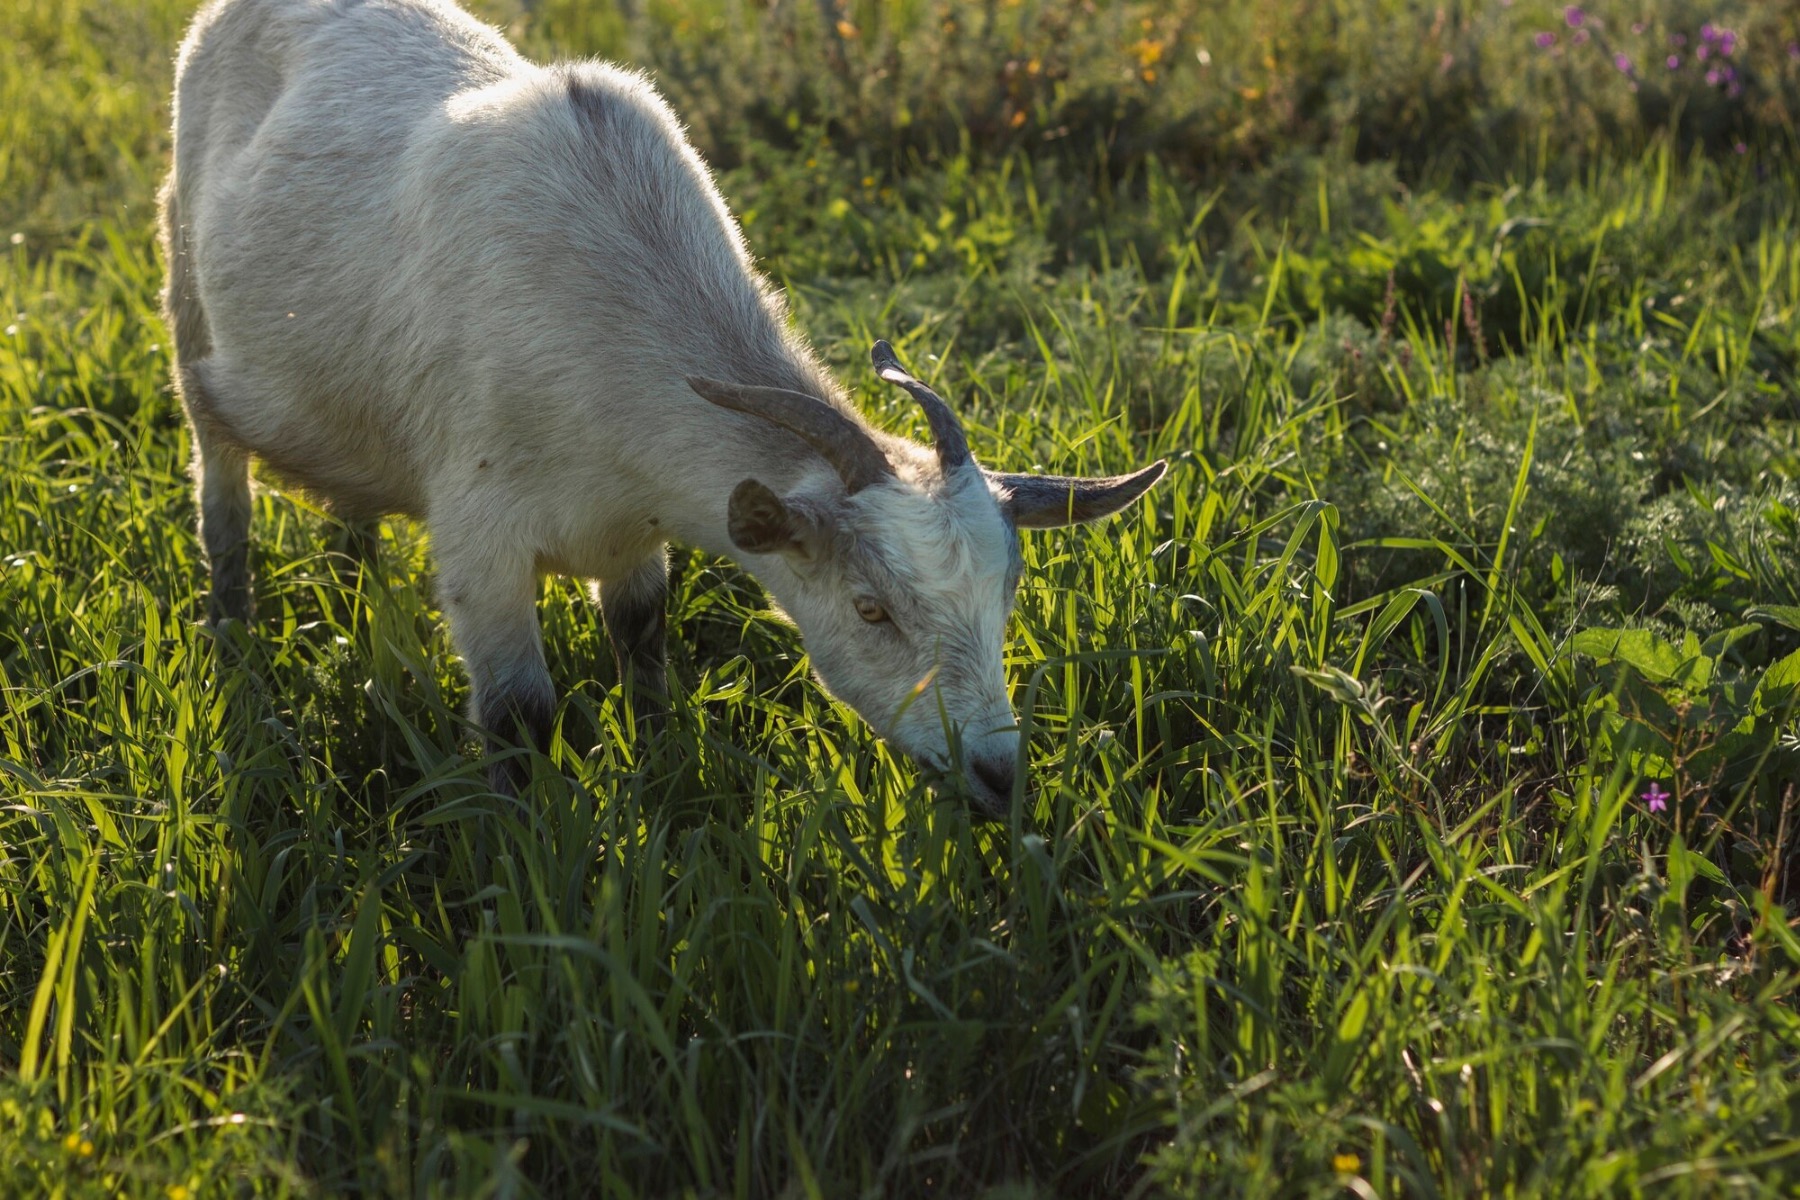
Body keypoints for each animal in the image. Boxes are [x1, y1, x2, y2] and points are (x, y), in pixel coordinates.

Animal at [165, 0, 1166, 816]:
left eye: (1005, 596)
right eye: (871, 609)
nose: (999, 776)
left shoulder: (635, 528)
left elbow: (642, 646)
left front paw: (659, 769)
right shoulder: (480, 535)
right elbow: (519, 714)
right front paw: (516, 860)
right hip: (186, 310)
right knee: (222, 493)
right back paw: (233, 634)